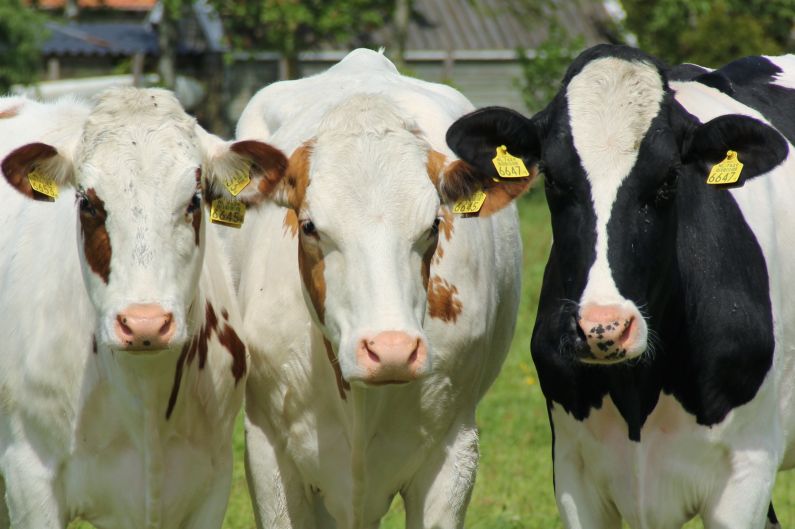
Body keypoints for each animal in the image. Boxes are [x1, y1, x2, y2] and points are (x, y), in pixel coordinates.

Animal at [446, 44, 795, 529]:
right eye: (552, 178)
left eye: (670, 178)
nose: (604, 327)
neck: (639, 392)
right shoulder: (572, 470)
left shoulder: (747, 473)